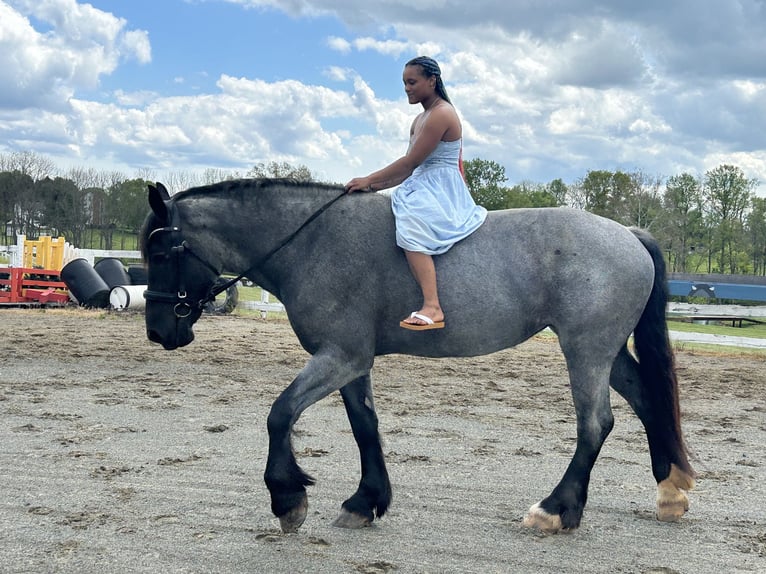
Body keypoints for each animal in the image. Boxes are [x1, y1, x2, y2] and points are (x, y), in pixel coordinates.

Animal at [141, 178, 694, 534]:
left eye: (163, 253)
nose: (158, 331)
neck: (313, 241)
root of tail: (627, 234)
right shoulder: (352, 362)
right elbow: (365, 425)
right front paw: (366, 501)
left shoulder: (339, 355)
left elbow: (280, 414)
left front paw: (288, 497)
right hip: (605, 351)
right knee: (646, 400)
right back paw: (670, 491)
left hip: (586, 349)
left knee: (595, 423)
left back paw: (557, 509)